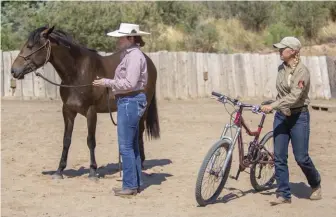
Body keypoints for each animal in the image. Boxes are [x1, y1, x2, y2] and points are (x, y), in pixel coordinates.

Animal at [11, 25, 161, 181]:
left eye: (30, 46)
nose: (14, 70)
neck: (77, 74)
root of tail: (148, 62)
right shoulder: (68, 111)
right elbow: (66, 140)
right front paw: (59, 171)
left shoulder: (91, 112)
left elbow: (90, 140)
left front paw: (93, 171)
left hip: (143, 109)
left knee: (139, 133)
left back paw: (141, 163)